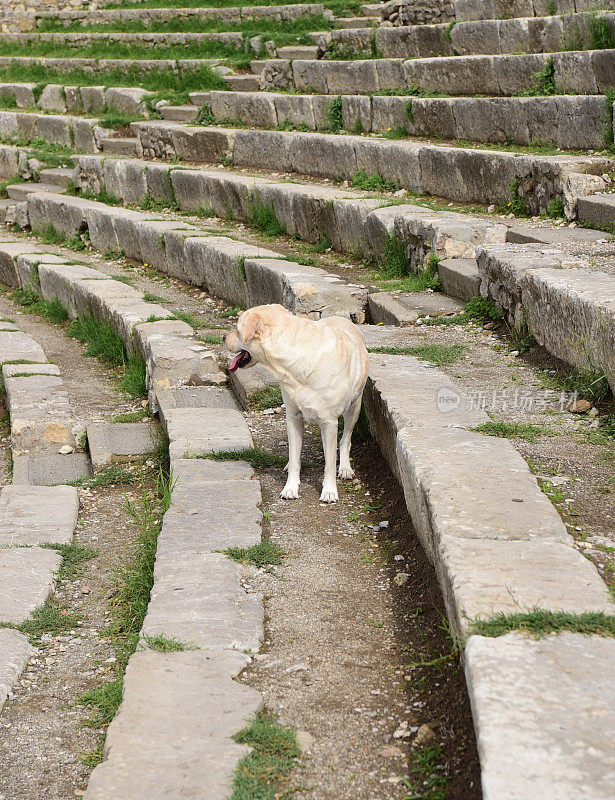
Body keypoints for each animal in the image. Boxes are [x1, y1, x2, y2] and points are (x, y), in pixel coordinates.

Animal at [226, 304, 370, 504]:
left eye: (237, 330)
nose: (223, 338)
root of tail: (341, 318)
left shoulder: (329, 421)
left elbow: (330, 462)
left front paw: (329, 491)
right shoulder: (293, 417)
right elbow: (295, 457)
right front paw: (290, 487)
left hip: (353, 408)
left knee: (345, 440)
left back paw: (345, 467)